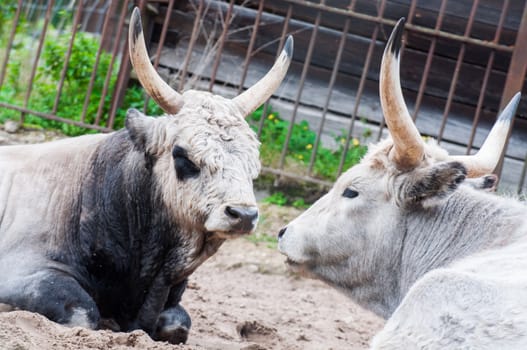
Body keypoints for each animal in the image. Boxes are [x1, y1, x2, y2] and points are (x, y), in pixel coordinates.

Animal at [0, 8, 292, 344]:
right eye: (182, 155)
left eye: (254, 161)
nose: (243, 214)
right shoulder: (24, 272)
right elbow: (82, 312)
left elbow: (178, 324)